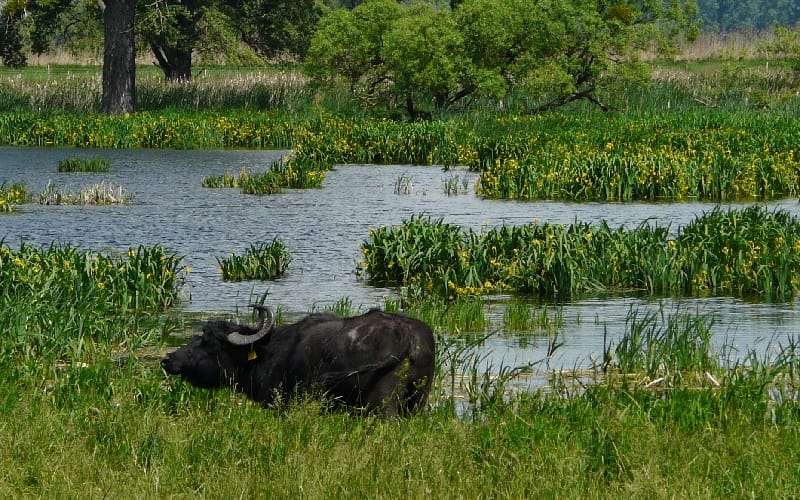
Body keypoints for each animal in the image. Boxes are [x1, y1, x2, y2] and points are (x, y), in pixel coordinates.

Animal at [161, 304, 435, 416]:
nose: (168, 359)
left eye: (208, 341)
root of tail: (406, 335)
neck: (269, 353)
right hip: (416, 401)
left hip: (383, 404)